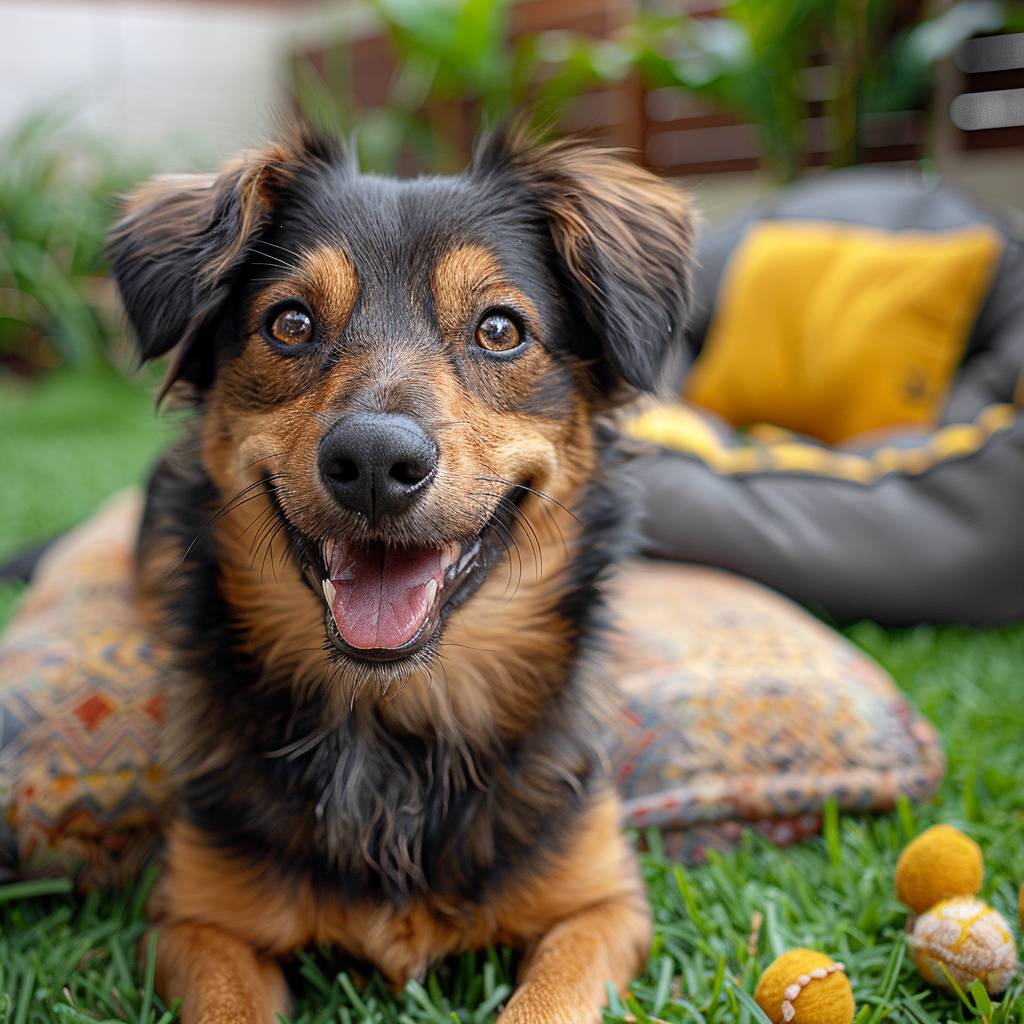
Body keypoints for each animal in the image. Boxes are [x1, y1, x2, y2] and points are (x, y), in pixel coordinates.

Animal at [105, 121, 696, 1024]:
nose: (376, 463)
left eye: (499, 330)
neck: (395, 718)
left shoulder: (602, 903)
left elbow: (549, 1001)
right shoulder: (197, 917)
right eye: (290, 322)